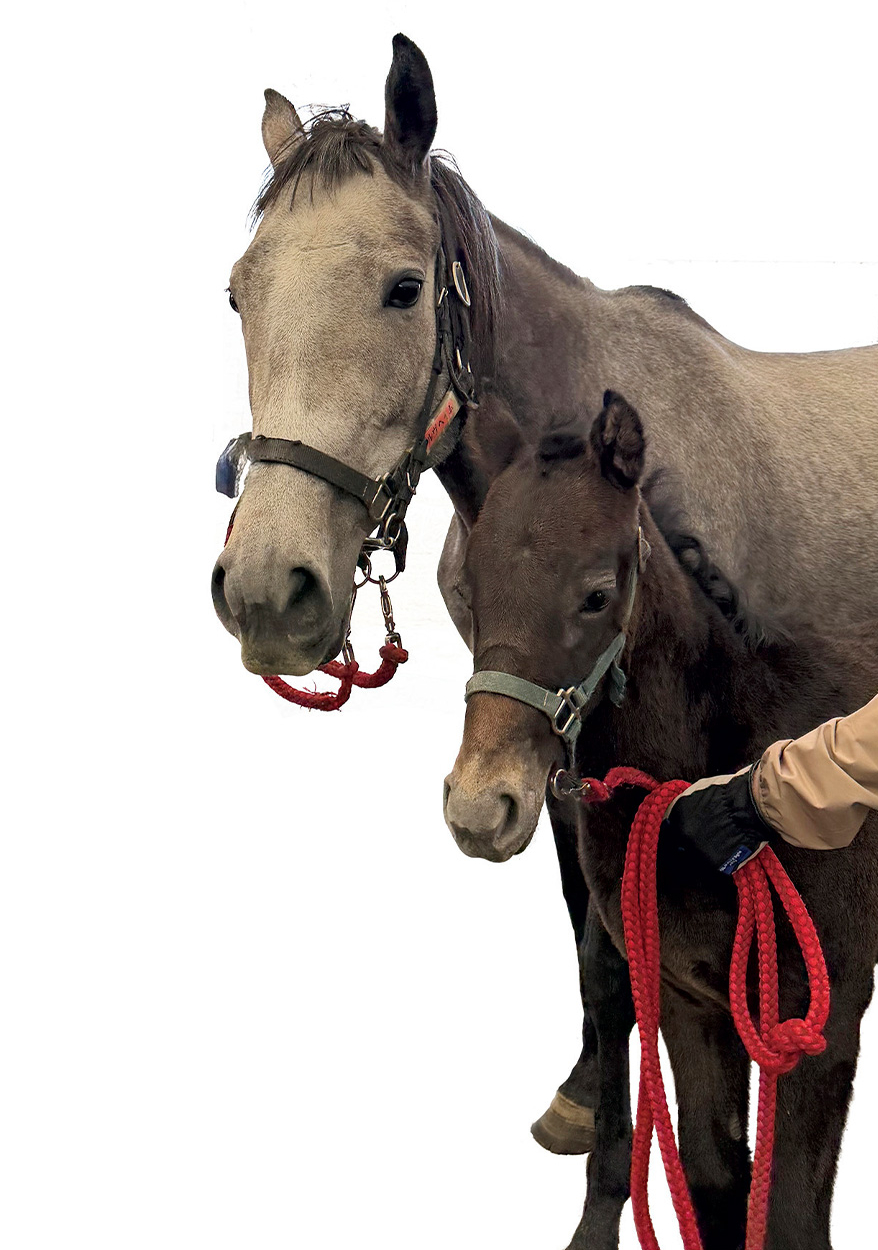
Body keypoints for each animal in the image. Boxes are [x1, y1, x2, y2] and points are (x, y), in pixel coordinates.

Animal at [211, 32, 878, 1152]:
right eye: (237, 294)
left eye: (403, 288)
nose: (267, 589)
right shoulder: (551, 756)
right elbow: (591, 940)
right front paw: (587, 1090)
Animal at [443, 391, 878, 1249]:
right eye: (470, 588)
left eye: (595, 594)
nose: (481, 807)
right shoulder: (688, 998)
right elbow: (716, 1187)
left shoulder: (821, 1018)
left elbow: (787, 1218)